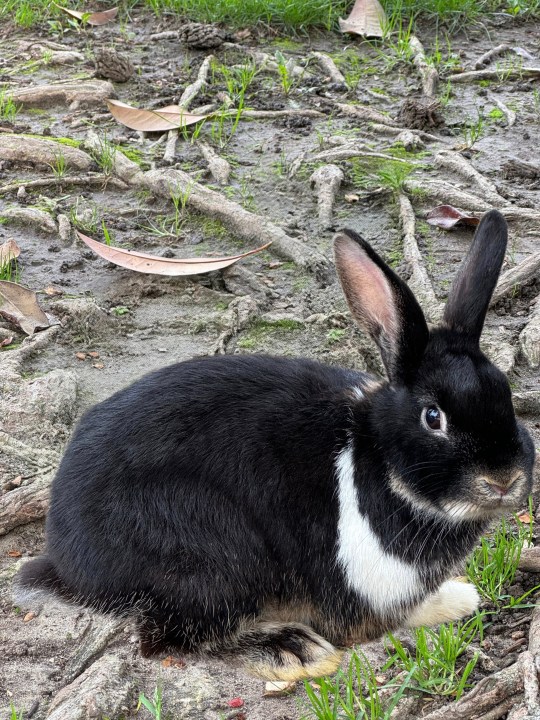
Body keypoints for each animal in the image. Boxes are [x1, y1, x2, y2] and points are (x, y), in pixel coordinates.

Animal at [15, 209, 535, 682]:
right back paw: (294, 650)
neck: (379, 460)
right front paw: (458, 600)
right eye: (433, 417)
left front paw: (460, 596)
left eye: (505, 394)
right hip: (209, 553)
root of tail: (67, 561)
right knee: (168, 639)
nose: (504, 480)